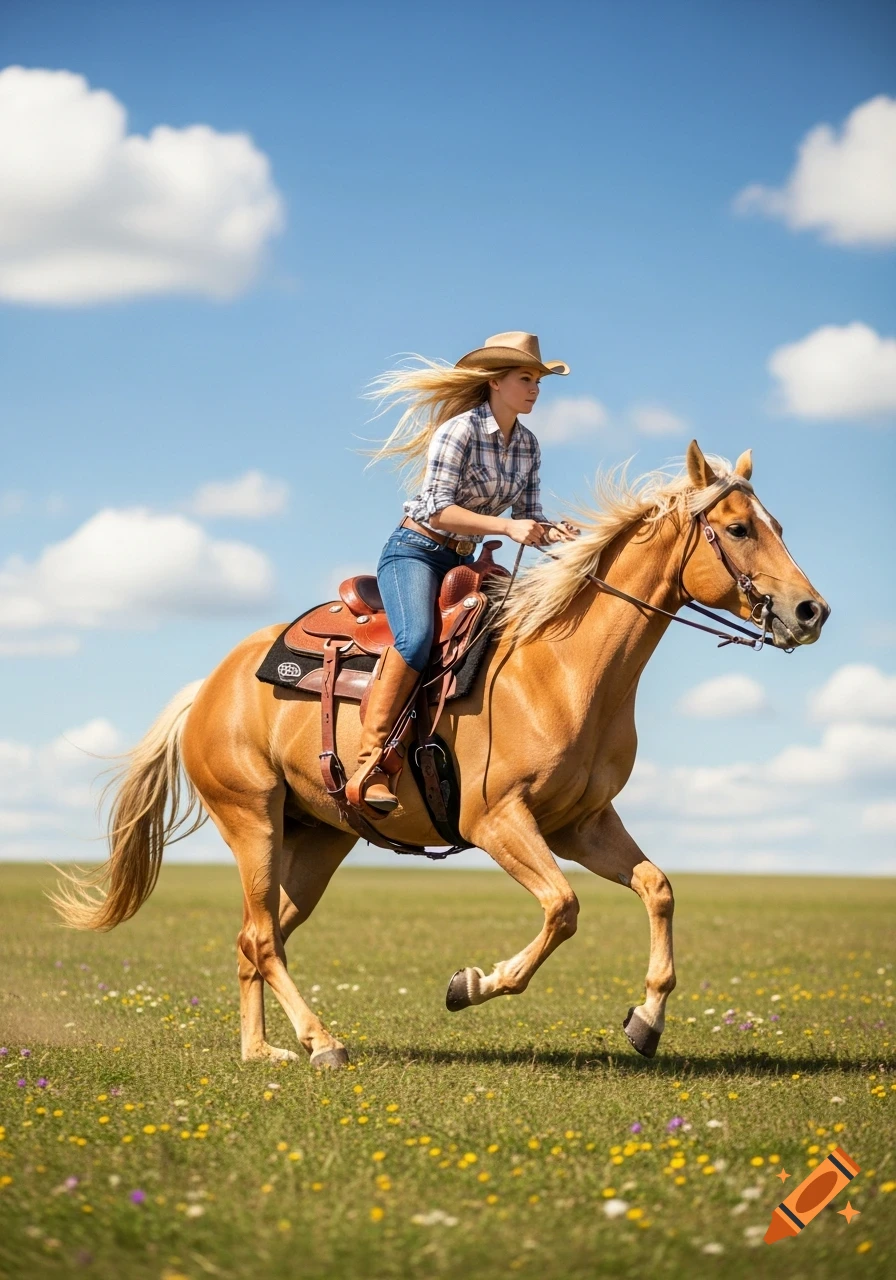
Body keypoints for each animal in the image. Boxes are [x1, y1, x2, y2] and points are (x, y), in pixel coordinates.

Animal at [51, 441, 828, 1069]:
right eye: (738, 528)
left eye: (779, 526)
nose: (811, 611)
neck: (562, 669)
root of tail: (211, 686)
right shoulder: (498, 821)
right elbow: (563, 908)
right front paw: (472, 984)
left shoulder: (580, 824)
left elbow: (657, 888)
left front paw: (645, 1021)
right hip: (253, 822)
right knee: (264, 940)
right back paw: (323, 1043)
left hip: (318, 841)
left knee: (254, 938)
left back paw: (262, 1050)